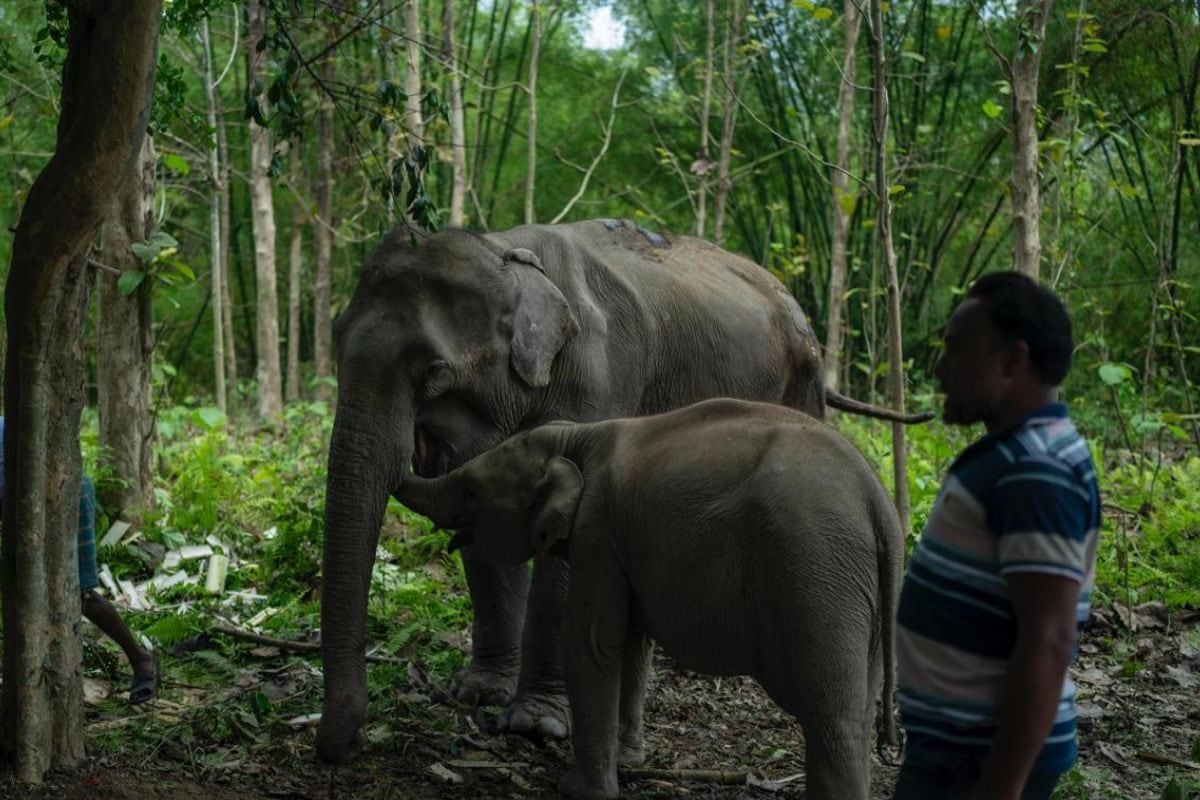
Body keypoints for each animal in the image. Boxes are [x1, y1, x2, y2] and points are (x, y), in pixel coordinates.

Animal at [394, 398, 904, 800]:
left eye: (470, 491)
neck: (576, 437)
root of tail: (878, 504)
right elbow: (633, 645)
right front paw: (627, 763)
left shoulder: (597, 530)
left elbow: (593, 643)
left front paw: (577, 789)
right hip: (865, 597)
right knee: (857, 715)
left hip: (816, 571)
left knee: (833, 720)